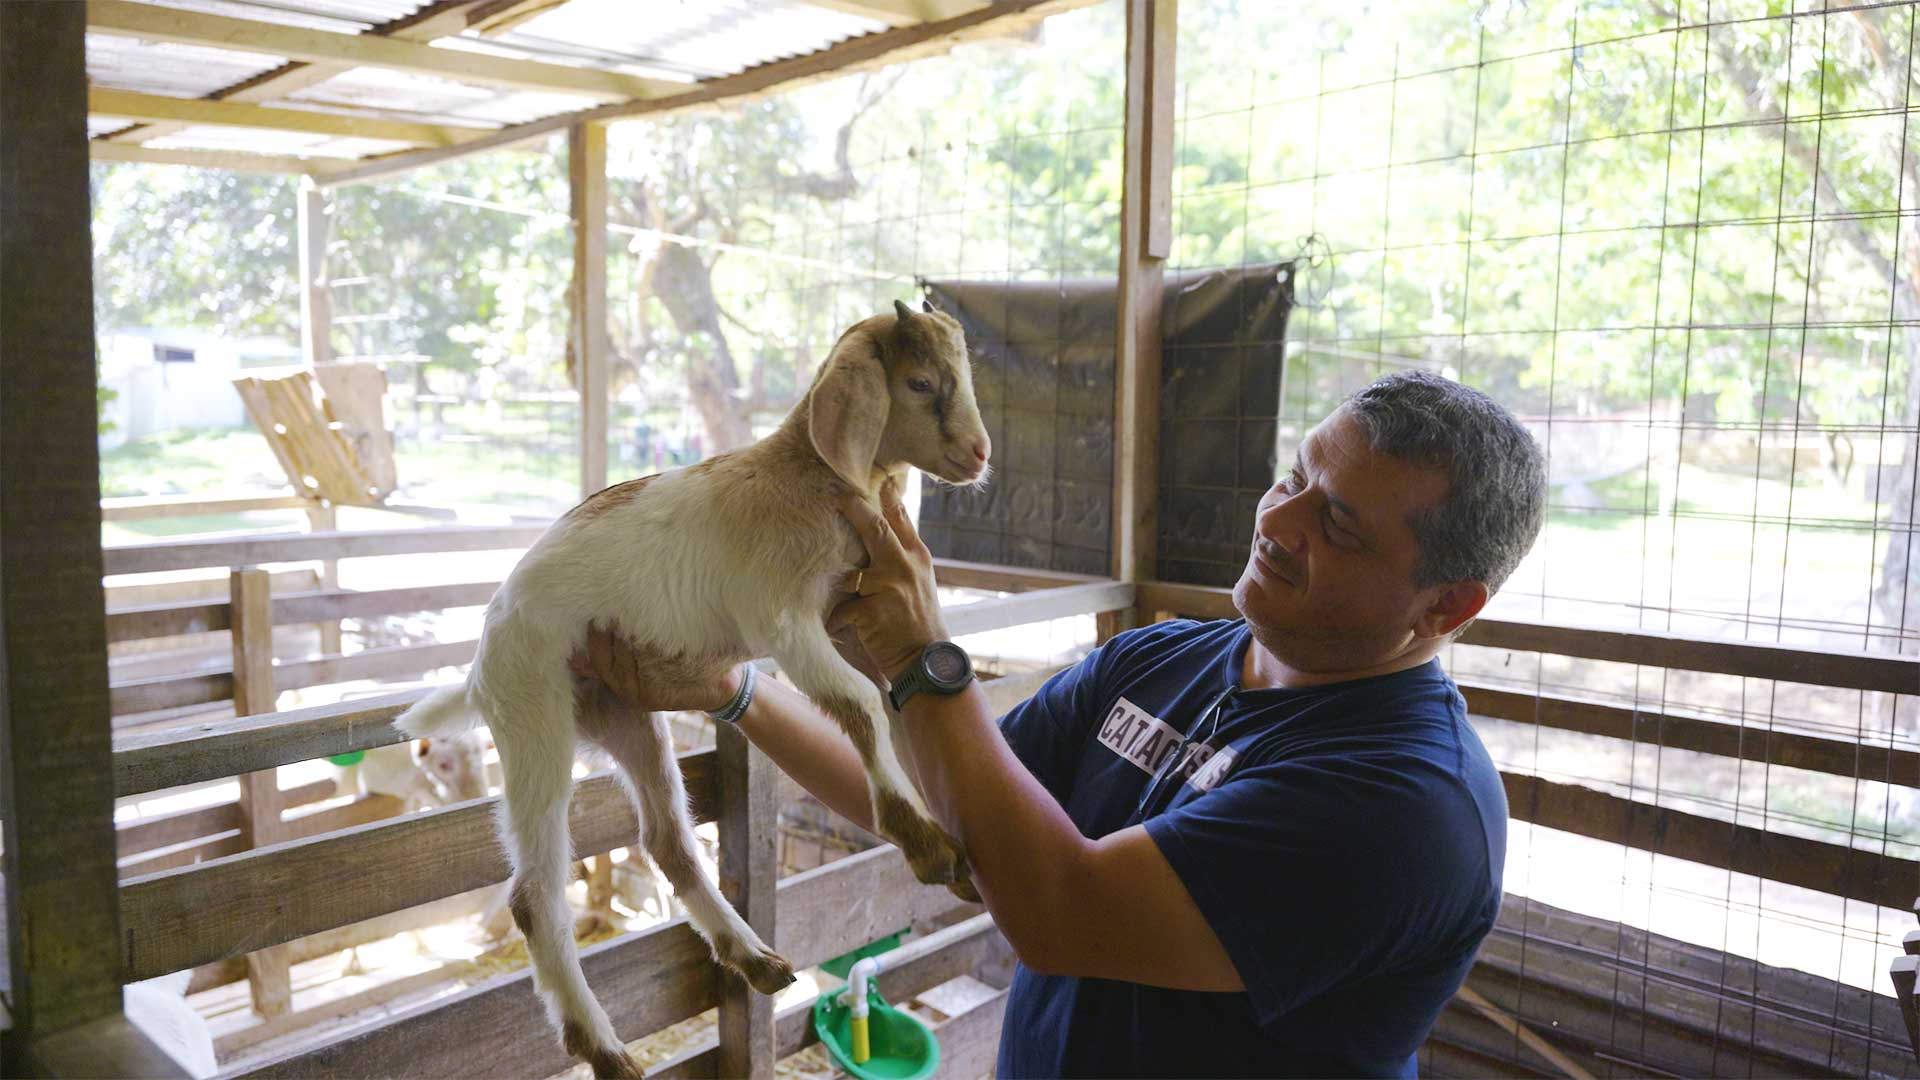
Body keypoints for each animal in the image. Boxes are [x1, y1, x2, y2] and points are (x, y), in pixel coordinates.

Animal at [396, 301, 991, 1078]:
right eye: (919, 382)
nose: (980, 455)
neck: (805, 479)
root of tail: (478, 666)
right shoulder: (783, 616)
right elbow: (861, 705)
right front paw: (920, 838)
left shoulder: (839, 613)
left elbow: (879, 705)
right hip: (534, 723)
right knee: (534, 896)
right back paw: (604, 1047)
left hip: (627, 718)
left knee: (667, 841)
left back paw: (750, 955)